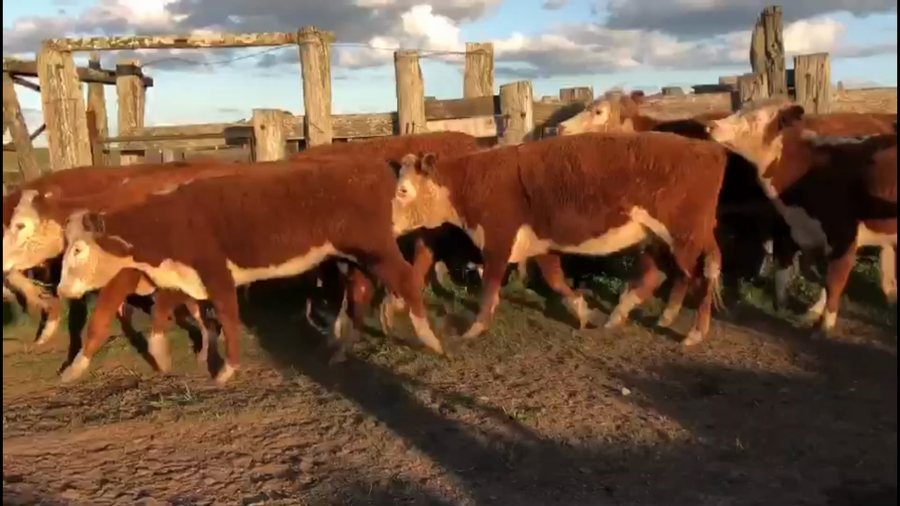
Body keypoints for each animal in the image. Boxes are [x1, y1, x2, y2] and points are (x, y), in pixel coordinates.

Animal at [56, 154, 447, 385]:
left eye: (77, 249)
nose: (61, 291)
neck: (170, 220)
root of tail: (365, 169)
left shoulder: (215, 272)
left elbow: (227, 315)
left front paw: (227, 369)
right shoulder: (182, 274)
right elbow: (175, 308)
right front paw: (169, 355)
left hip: (377, 249)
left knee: (406, 279)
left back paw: (430, 339)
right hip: (355, 257)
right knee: (360, 292)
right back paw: (340, 350)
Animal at [392, 131, 728, 347]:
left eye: (403, 190)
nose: (391, 225)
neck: (472, 181)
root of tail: (711, 150)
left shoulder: (498, 241)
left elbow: (490, 288)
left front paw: (474, 329)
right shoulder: (541, 243)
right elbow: (554, 278)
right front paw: (583, 311)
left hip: (685, 237)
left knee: (699, 276)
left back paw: (694, 333)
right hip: (663, 238)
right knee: (663, 273)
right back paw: (626, 316)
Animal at [706, 101, 897, 335]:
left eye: (755, 118)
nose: (711, 125)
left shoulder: (843, 238)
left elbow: (834, 281)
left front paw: (826, 326)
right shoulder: (793, 230)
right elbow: (796, 272)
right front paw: (796, 308)